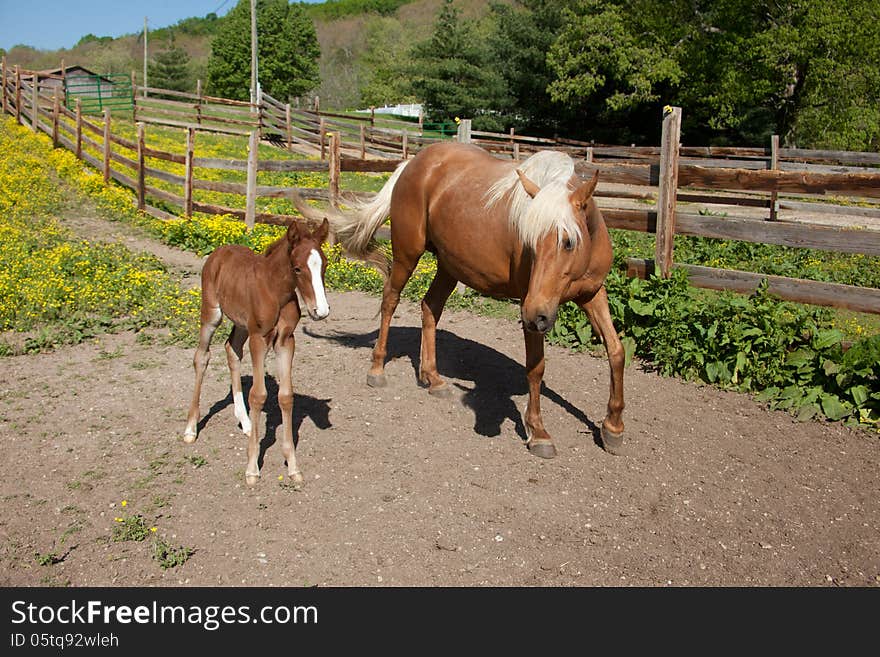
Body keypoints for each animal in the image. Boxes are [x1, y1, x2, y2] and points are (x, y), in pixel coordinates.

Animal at [182, 218, 330, 484]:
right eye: (297, 269)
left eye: (324, 265)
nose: (320, 311)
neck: (275, 291)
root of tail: (220, 251)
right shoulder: (259, 339)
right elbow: (259, 395)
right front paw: (252, 468)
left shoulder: (286, 341)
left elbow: (285, 396)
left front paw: (292, 465)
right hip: (212, 314)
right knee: (202, 357)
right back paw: (190, 429)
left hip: (242, 325)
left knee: (231, 349)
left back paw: (246, 421)